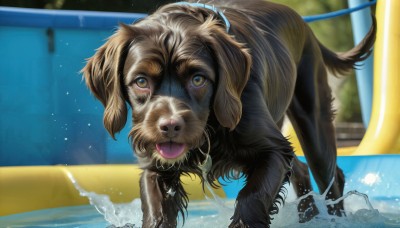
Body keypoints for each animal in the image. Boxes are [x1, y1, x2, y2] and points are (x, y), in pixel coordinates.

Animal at [81, 0, 376, 227]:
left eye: (198, 79)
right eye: (141, 81)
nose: (170, 126)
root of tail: (306, 26)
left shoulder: (272, 151)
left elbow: (251, 198)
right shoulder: (156, 166)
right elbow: (156, 209)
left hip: (313, 120)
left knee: (331, 179)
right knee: (301, 169)